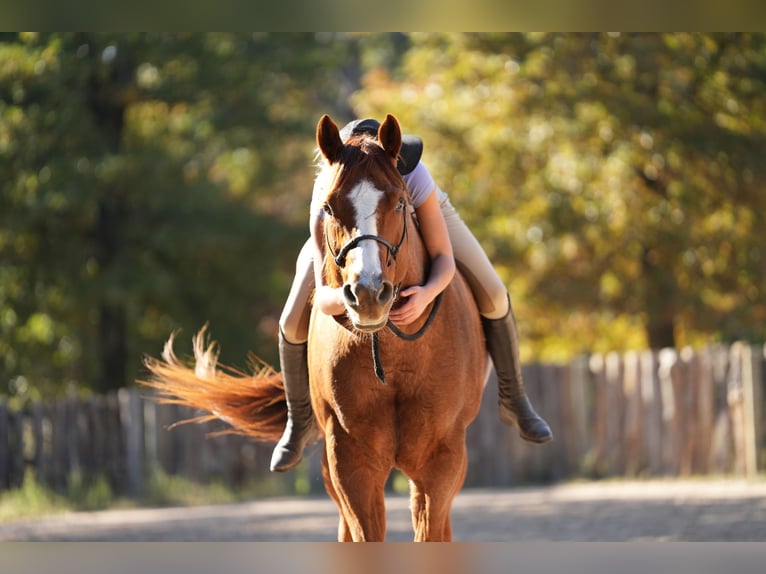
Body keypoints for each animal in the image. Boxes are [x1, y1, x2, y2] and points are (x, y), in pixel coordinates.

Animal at [143, 113, 488, 542]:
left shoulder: (441, 461)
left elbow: (430, 530)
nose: (368, 292)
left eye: (400, 201)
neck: (394, 357)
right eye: (329, 206)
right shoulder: (349, 460)